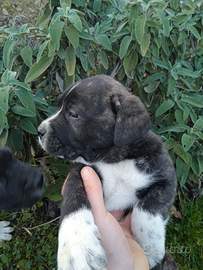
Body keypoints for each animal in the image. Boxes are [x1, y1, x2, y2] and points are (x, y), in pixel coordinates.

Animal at [37, 75, 176, 270]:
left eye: (74, 114)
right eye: (58, 107)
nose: (40, 131)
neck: (112, 158)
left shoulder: (167, 179)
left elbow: (147, 210)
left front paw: (149, 246)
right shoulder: (81, 172)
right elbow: (73, 201)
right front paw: (77, 247)